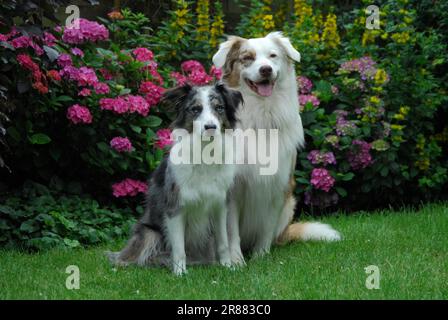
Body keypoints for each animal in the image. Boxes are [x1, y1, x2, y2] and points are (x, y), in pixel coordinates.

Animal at [109, 82, 243, 276]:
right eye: (195, 109)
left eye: (219, 108)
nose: (211, 127)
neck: (204, 153)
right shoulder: (175, 207)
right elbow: (179, 248)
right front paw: (180, 273)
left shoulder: (220, 205)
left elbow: (223, 242)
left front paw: (227, 267)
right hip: (149, 233)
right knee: (131, 257)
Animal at [213, 31, 340, 264]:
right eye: (247, 58)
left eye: (273, 56)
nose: (266, 69)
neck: (262, 114)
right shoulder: (232, 189)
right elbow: (231, 229)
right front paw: (236, 261)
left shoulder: (279, 185)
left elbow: (267, 227)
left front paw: (261, 257)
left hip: (290, 206)